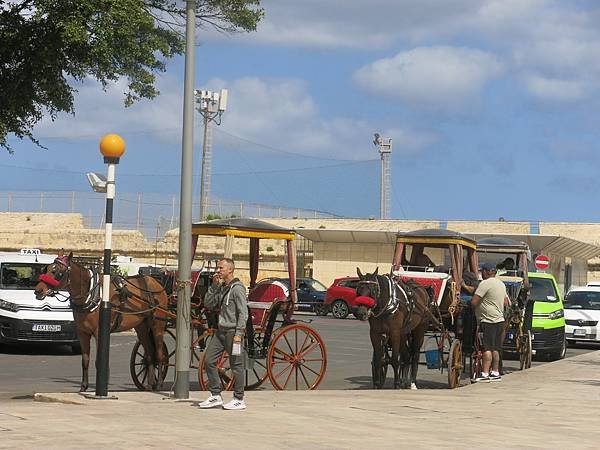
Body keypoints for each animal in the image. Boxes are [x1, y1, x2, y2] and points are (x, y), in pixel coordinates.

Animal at [34, 251, 169, 392]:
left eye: (57, 272)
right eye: (46, 269)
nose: (38, 290)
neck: (91, 294)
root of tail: (156, 283)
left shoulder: (100, 333)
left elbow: (99, 361)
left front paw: (102, 386)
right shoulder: (83, 333)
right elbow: (85, 360)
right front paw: (83, 387)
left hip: (158, 325)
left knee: (159, 353)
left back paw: (159, 384)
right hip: (141, 327)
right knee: (149, 354)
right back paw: (149, 385)